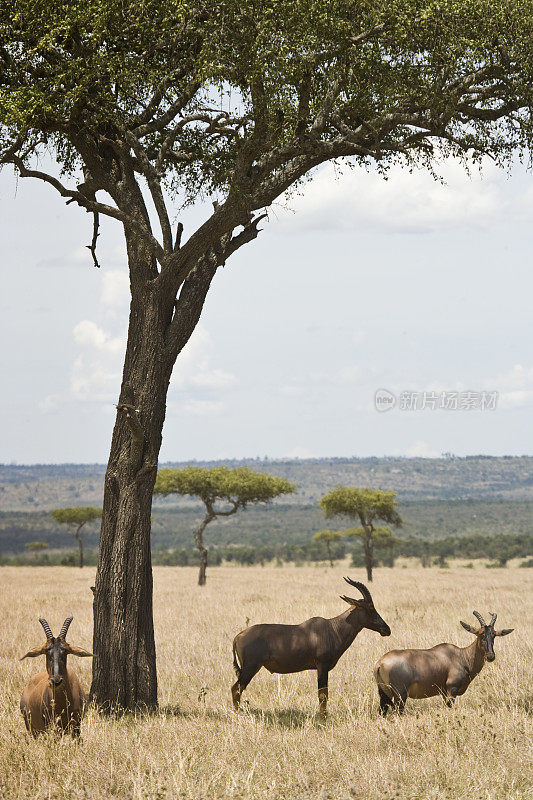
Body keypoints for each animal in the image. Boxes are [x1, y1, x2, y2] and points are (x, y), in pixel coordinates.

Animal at [231, 576, 388, 720]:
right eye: (370, 608)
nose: (386, 629)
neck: (332, 628)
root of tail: (238, 636)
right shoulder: (322, 666)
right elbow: (323, 694)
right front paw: (323, 719)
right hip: (251, 667)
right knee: (236, 689)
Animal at [374, 608, 512, 716]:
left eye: (493, 635)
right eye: (480, 634)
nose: (490, 656)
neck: (460, 656)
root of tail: (380, 663)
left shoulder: (444, 692)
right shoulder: (452, 689)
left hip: (384, 694)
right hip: (400, 696)